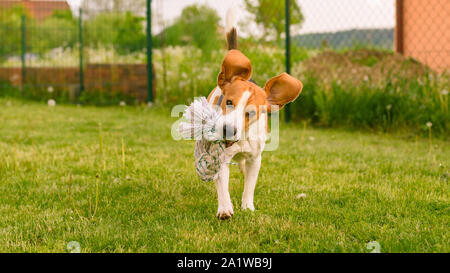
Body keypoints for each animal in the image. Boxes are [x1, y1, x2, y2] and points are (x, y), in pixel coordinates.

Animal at [207, 15, 302, 219]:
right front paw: (225, 207)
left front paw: (247, 206)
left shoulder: (255, 159)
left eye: (250, 113)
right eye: (228, 102)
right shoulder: (221, 157)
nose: (228, 130)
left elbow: (249, 186)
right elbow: (223, 184)